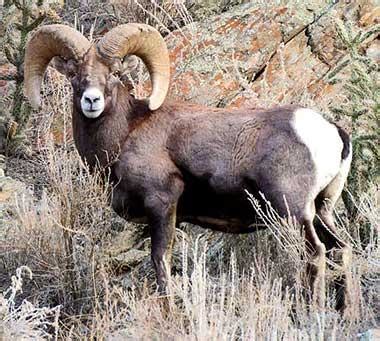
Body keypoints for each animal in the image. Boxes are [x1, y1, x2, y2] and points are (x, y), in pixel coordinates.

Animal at [23, 23, 352, 306]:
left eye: (114, 73)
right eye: (74, 74)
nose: (91, 101)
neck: (126, 133)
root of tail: (330, 131)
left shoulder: (162, 204)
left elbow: (160, 260)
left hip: (292, 212)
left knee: (315, 254)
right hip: (322, 211)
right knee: (342, 249)